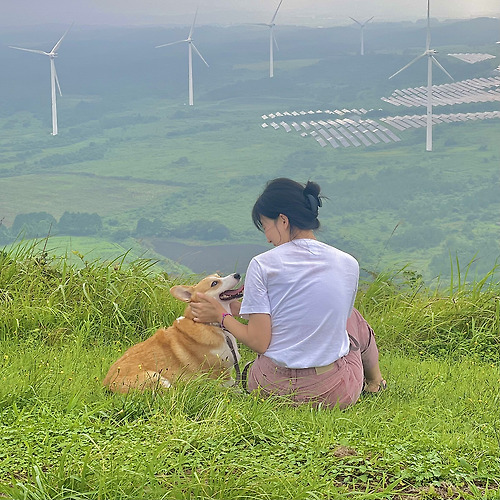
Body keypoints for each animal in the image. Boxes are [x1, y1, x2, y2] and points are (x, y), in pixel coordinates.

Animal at [102, 274, 243, 394]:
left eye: (219, 276)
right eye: (214, 283)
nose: (237, 275)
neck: (208, 324)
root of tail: (107, 385)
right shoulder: (221, 375)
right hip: (157, 378)